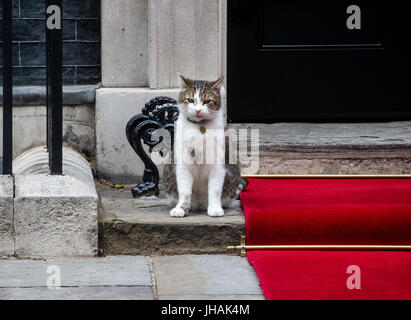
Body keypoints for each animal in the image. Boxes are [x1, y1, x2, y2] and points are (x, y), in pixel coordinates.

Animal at [164, 74, 248, 218]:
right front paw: (181, 208)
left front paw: (215, 208)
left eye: (207, 101)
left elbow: (215, 189)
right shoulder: (183, 163)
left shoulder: (218, 164)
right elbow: (184, 190)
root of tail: (200, 204)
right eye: (190, 100)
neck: (200, 127)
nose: (198, 110)